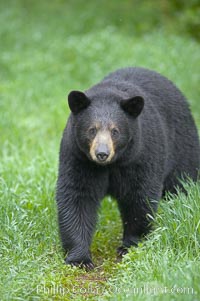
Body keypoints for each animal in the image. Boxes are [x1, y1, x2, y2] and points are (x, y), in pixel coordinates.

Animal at [55, 67, 199, 268]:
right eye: (92, 129)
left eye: (115, 131)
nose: (102, 153)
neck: (111, 165)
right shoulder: (78, 158)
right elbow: (77, 197)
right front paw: (79, 259)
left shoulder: (140, 156)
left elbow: (139, 197)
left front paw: (130, 245)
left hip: (183, 149)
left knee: (182, 184)